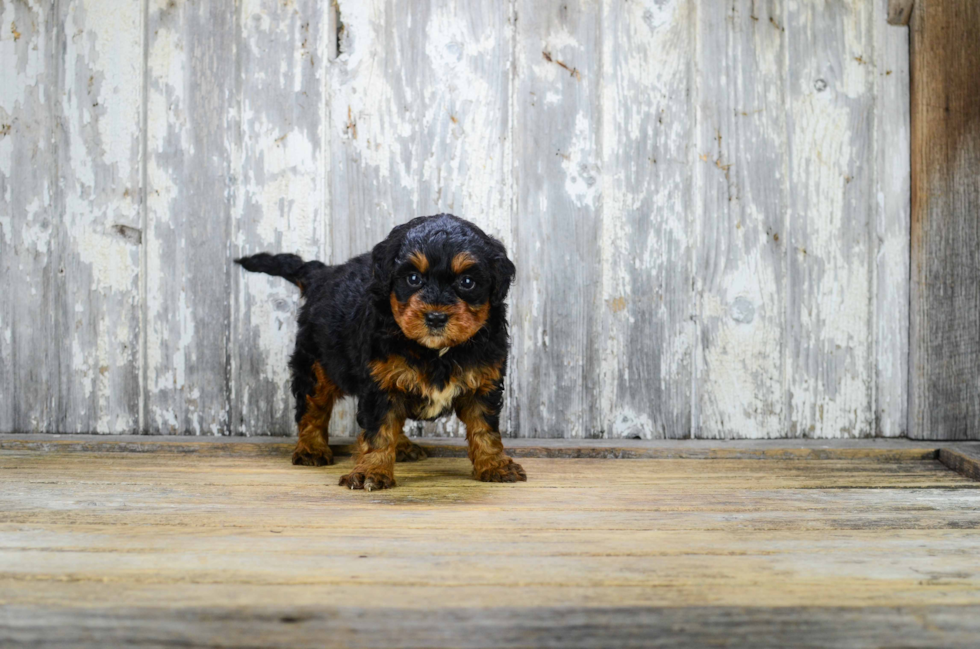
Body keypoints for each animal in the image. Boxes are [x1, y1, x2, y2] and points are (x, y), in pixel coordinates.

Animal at [236, 215, 524, 488]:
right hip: (317, 362)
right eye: (413, 278)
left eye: (467, 282)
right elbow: (379, 431)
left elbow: (485, 428)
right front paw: (371, 471)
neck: (437, 352)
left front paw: (495, 465)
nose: (436, 317)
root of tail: (323, 274)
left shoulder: (483, 382)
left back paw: (403, 445)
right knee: (312, 407)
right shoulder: (380, 384)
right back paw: (311, 448)